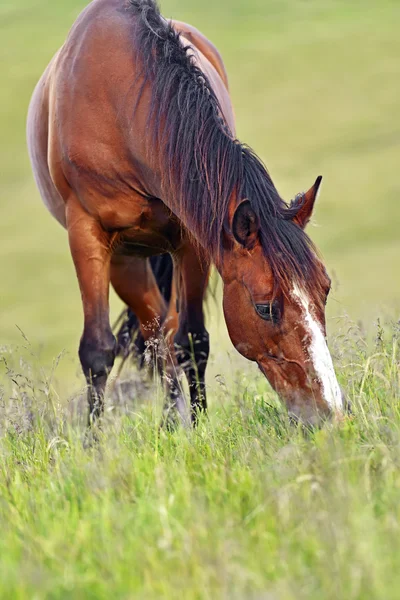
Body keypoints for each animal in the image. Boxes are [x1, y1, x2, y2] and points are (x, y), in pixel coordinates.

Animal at [26, 0, 344, 426]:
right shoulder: (86, 233)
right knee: (153, 332)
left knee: (166, 332)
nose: (330, 412)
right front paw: (92, 439)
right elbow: (96, 351)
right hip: (125, 260)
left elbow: (193, 339)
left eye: (324, 289)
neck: (119, 107)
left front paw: (198, 424)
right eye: (265, 308)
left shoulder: (194, 240)